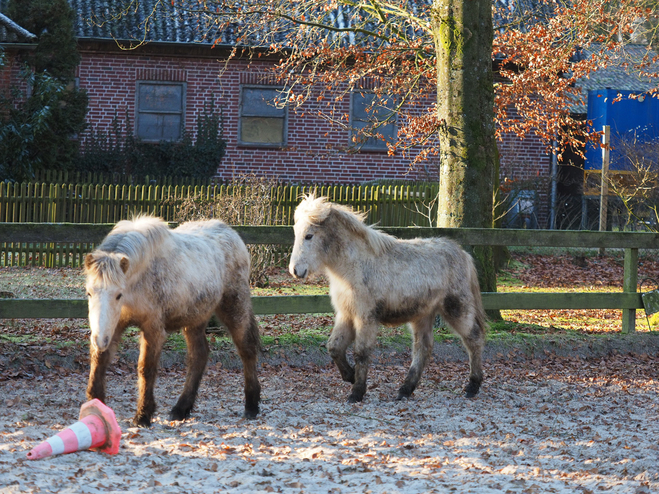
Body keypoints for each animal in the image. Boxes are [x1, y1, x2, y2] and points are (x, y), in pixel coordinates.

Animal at [81, 216, 260, 428]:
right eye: (89, 292)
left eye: (118, 295)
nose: (99, 340)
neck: (139, 280)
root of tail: (231, 233)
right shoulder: (113, 326)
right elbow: (99, 361)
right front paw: (94, 406)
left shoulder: (153, 329)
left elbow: (146, 368)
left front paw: (143, 415)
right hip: (195, 319)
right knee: (199, 356)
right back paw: (181, 409)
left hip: (234, 308)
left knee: (247, 349)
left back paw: (251, 406)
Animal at [292, 195, 488, 404]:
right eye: (296, 233)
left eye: (309, 235)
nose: (295, 270)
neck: (354, 265)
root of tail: (463, 255)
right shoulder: (346, 314)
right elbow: (334, 347)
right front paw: (350, 376)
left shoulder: (365, 317)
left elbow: (361, 352)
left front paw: (357, 392)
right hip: (422, 316)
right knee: (423, 348)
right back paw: (405, 390)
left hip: (457, 309)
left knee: (474, 339)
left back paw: (472, 386)